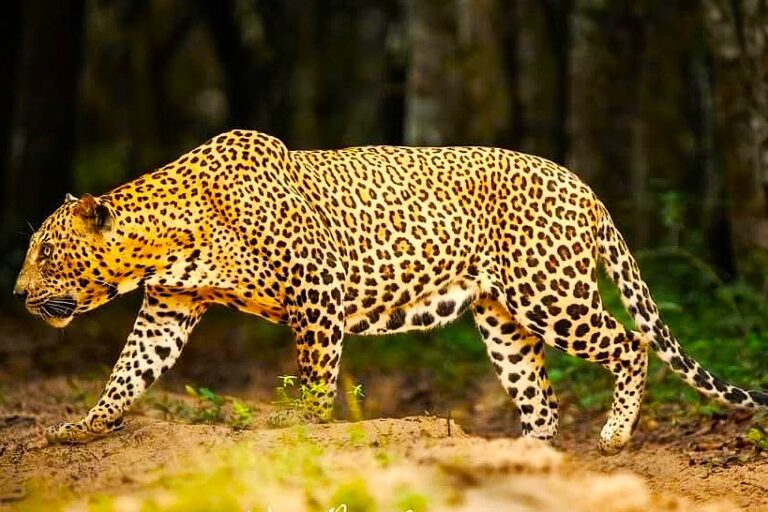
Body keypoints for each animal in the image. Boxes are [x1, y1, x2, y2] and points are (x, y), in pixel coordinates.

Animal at [14, 129, 768, 454]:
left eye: (46, 252)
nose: (18, 294)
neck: (171, 236)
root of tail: (582, 184)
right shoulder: (169, 308)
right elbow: (128, 371)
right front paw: (85, 426)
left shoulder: (315, 290)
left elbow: (316, 374)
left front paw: (299, 423)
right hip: (503, 320)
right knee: (542, 399)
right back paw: (520, 456)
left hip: (549, 292)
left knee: (631, 342)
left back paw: (613, 433)